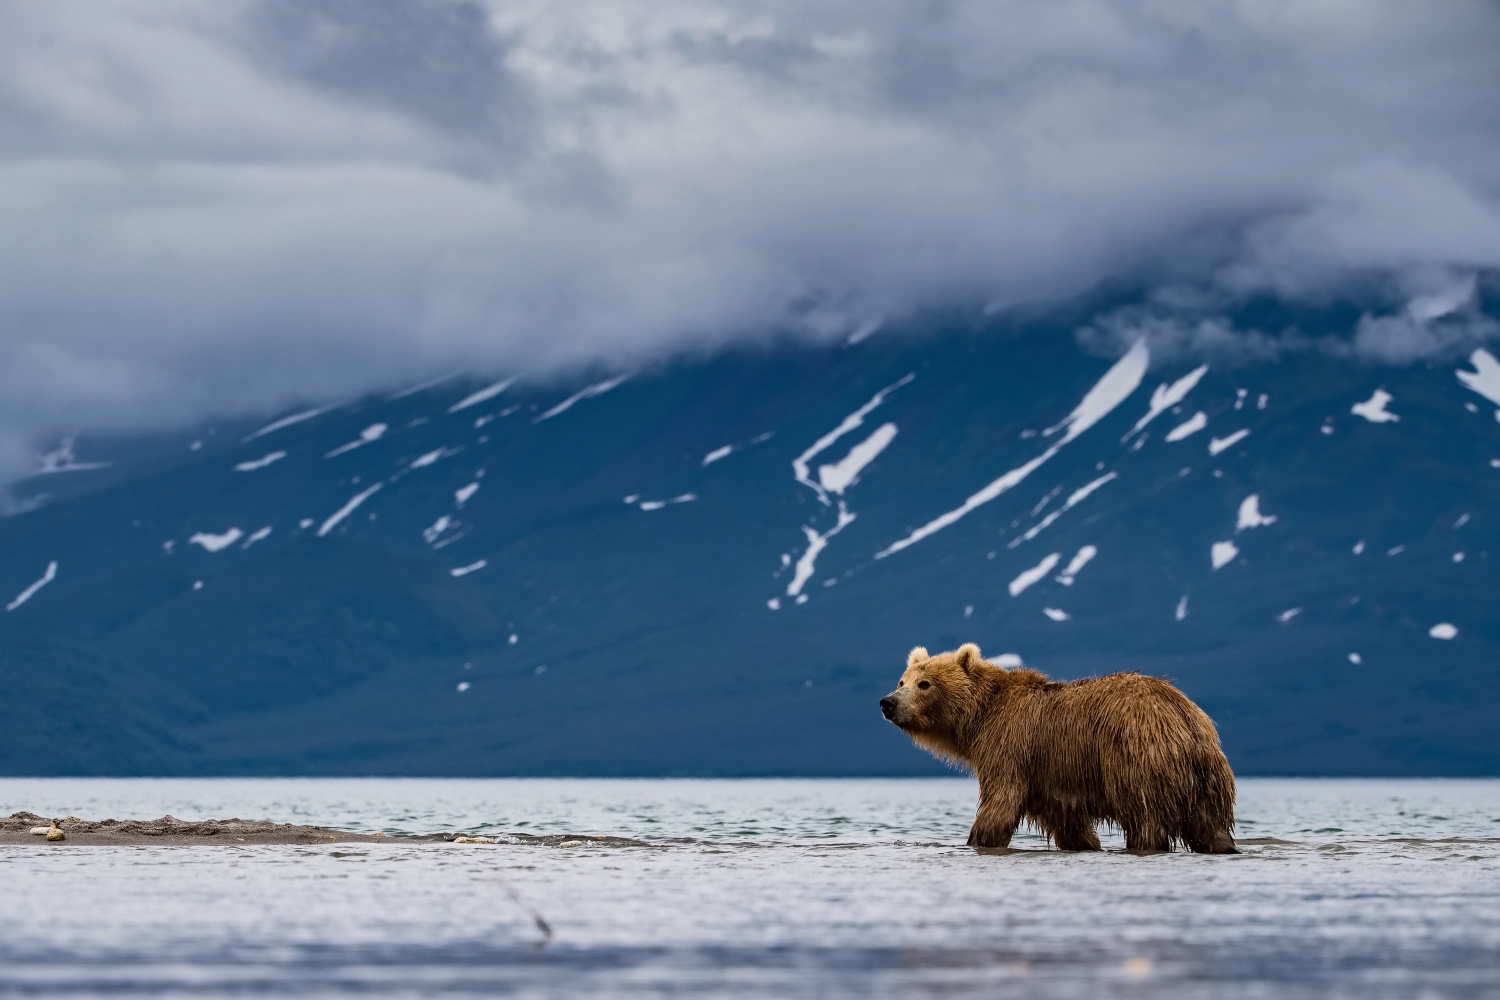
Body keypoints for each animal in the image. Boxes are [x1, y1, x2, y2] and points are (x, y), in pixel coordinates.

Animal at [876, 641, 1236, 851]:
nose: (887, 702)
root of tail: (1182, 715)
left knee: (1145, 817)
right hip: (1208, 776)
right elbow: (1068, 823)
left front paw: (978, 839)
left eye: (925, 683)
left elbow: (999, 803)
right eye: (902, 680)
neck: (980, 716)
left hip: (1136, 757)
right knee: (1210, 827)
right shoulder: (1050, 778)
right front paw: (1086, 843)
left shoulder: (1009, 746)